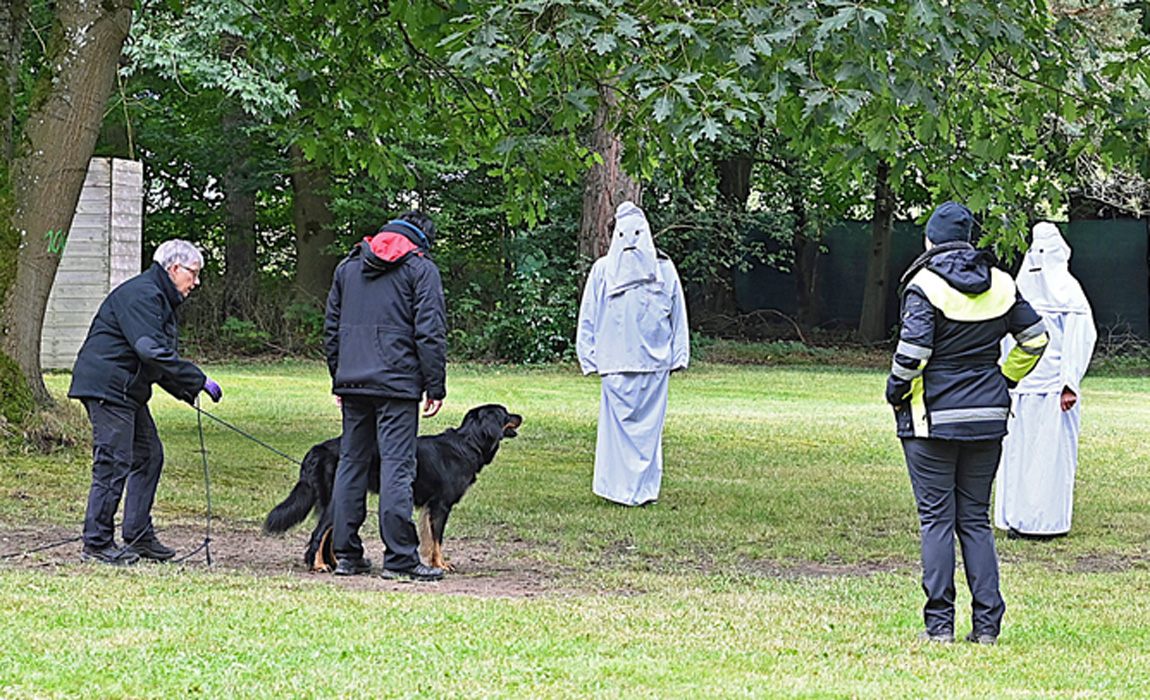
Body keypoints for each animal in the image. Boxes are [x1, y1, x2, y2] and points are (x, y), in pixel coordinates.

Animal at [264, 402, 522, 570]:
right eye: (506, 413)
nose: (520, 415)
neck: (469, 443)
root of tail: (316, 450)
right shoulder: (441, 505)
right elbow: (437, 539)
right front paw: (440, 565)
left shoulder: (430, 506)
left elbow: (429, 538)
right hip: (334, 499)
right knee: (319, 534)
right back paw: (319, 565)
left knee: (328, 534)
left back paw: (339, 564)